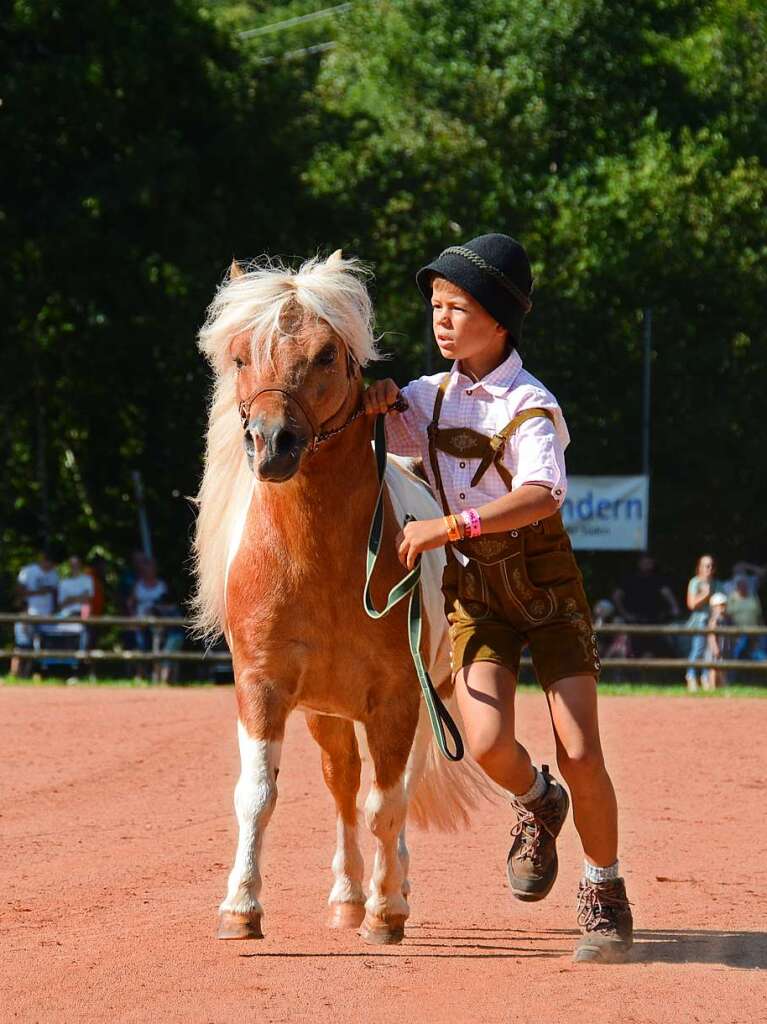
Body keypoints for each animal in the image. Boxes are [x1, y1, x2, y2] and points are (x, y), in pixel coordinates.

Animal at [194, 249, 487, 942]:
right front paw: (241, 908)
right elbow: (258, 795)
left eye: (327, 353)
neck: (319, 562)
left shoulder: (399, 698)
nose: (270, 443)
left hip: (413, 706)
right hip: (327, 714)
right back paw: (347, 895)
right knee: (344, 785)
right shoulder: (263, 687)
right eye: (240, 356)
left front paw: (386, 913)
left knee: (394, 792)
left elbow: (388, 804)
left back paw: (390, 892)